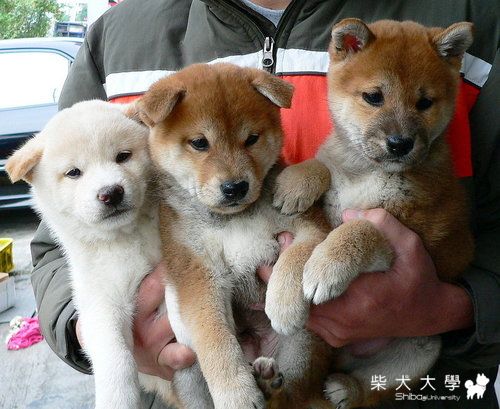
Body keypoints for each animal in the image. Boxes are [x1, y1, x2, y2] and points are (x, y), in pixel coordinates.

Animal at [5, 100, 175, 409]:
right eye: (74, 172)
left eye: (123, 156)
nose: (111, 193)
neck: (127, 237)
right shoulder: (101, 302)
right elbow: (115, 357)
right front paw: (117, 400)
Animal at [130, 63, 335, 409]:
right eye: (200, 143)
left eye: (251, 139)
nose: (235, 187)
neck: (231, 220)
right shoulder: (199, 274)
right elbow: (216, 342)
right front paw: (237, 394)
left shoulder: (311, 224)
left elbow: (297, 254)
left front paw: (283, 302)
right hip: (188, 374)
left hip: (302, 347)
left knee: (292, 395)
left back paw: (270, 386)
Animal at [273, 19, 474, 408]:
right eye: (374, 97)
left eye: (424, 103)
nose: (400, 143)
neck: (365, 173)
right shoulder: (331, 193)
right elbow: (322, 165)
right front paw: (294, 183)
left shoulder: (416, 231)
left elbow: (361, 230)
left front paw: (325, 267)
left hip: (422, 348)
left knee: (374, 390)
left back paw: (346, 389)